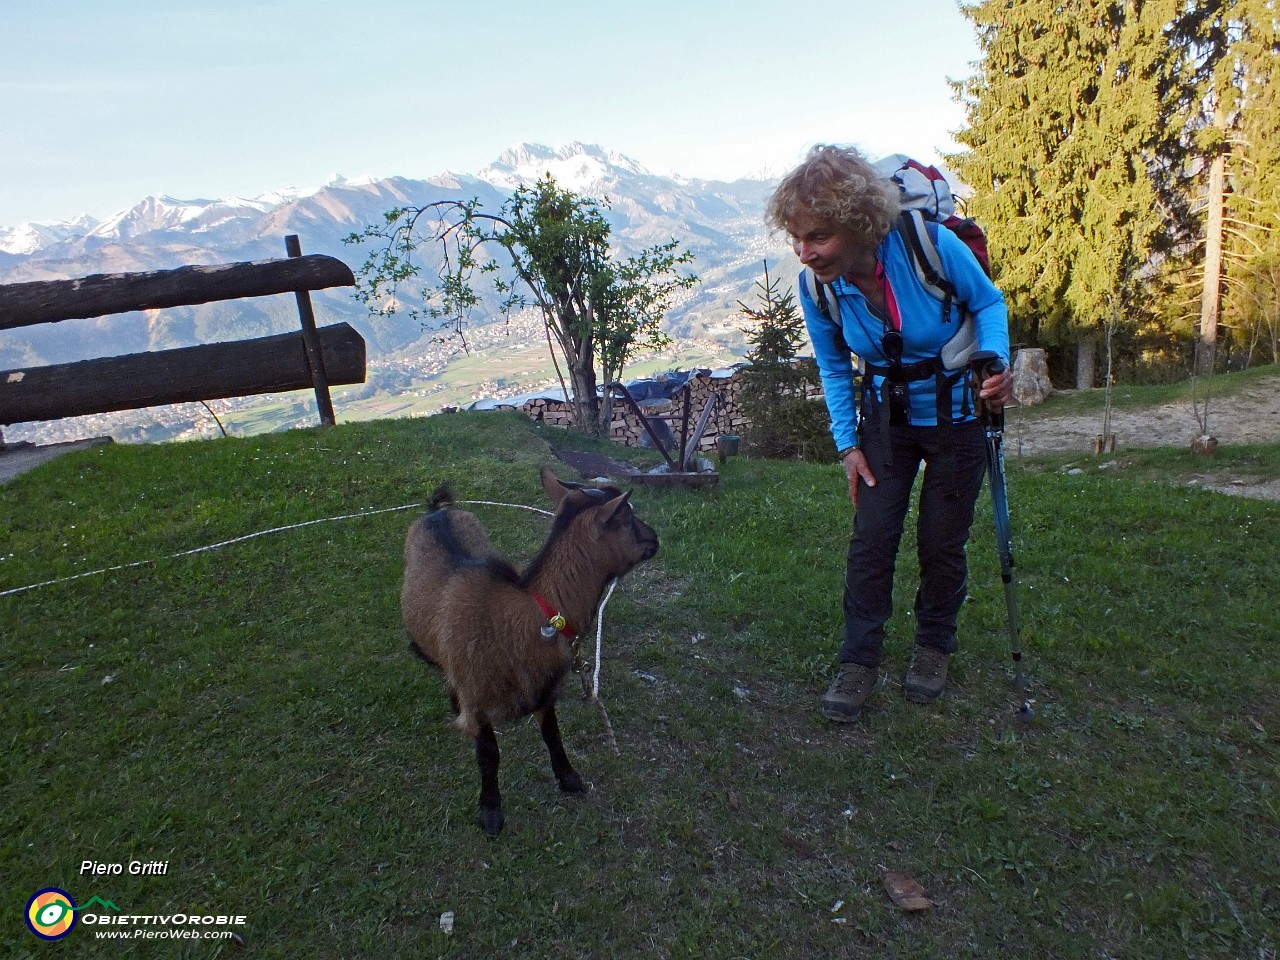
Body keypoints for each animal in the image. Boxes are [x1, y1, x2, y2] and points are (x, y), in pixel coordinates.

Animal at [401, 465, 660, 834]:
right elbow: (489, 755)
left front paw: (569, 778)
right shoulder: (478, 697)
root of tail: (438, 509)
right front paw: (491, 812)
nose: (655, 539)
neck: (522, 618)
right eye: (626, 519)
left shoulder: (544, 690)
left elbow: (553, 734)